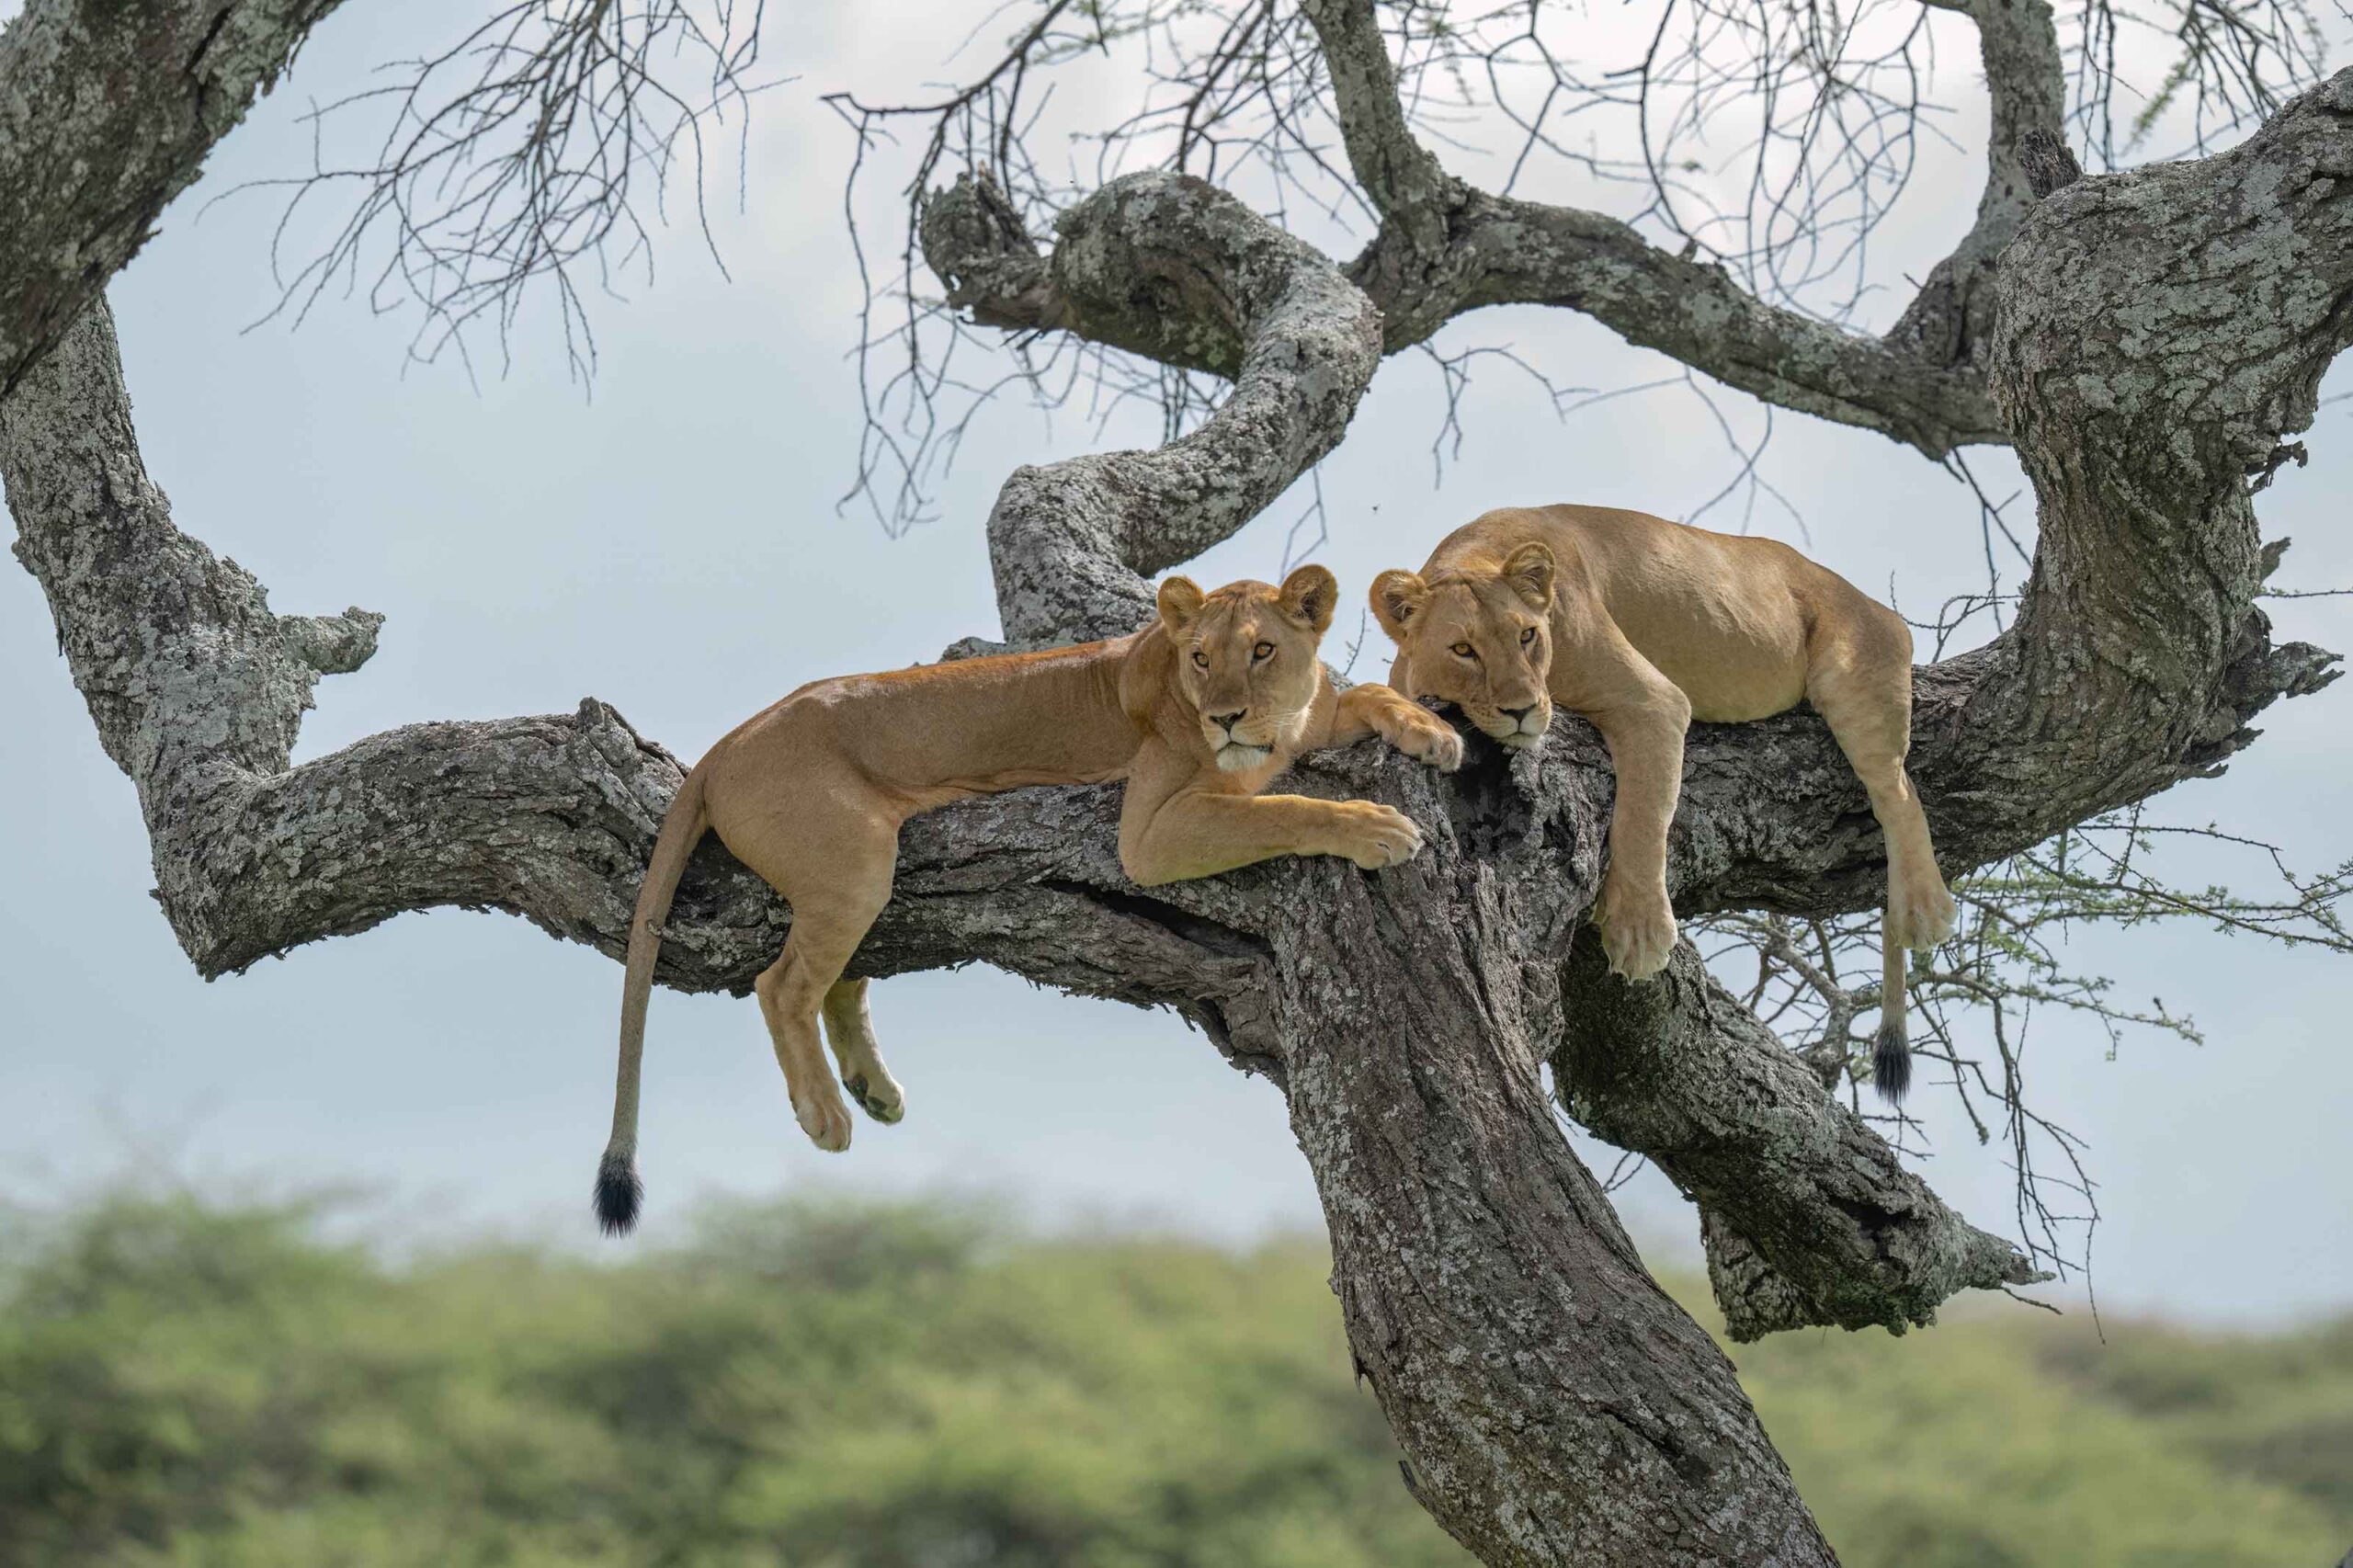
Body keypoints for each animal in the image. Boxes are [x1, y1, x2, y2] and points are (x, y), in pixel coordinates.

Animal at [597, 562, 1459, 1233]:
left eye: (1264, 649)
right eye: (1202, 658)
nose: (1224, 717)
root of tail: (724, 747)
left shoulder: (1307, 719)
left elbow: (1371, 691)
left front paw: (1434, 733)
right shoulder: (1149, 833)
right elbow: (1283, 808)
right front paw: (1378, 828)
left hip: (861, 876)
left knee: (839, 979)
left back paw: (873, 1091)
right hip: (854, 860)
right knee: (782, 984)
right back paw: (827, 1114)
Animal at [1374, 506, 1957, 1092]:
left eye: (1526, 636)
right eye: (1463, 650)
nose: (1521, 709)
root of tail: (1870, 601)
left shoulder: (1653, 700)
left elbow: (1642, 814)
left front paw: (1639, 933)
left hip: (1853, 677)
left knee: (1897, 792)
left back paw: (1923, 909)